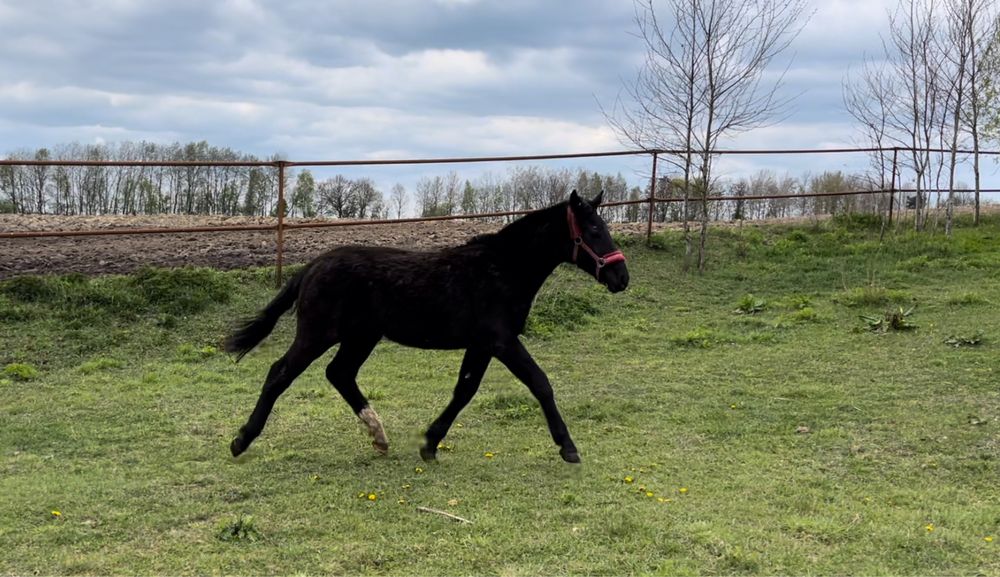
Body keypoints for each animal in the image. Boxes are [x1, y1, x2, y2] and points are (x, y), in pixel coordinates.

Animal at [229, 191, 628, 462]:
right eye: (594, 230)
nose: (621, 277)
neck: (501, 269)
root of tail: (311, 266)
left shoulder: (481, 345)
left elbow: (464, 391)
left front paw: (429, 444)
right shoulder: (501, 340)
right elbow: (540, 383)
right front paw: (568, 448)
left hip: (361, 337)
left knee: (339, 373)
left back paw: (379, 436)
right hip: (318, 334)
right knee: (280, 373)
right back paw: (241, 440)